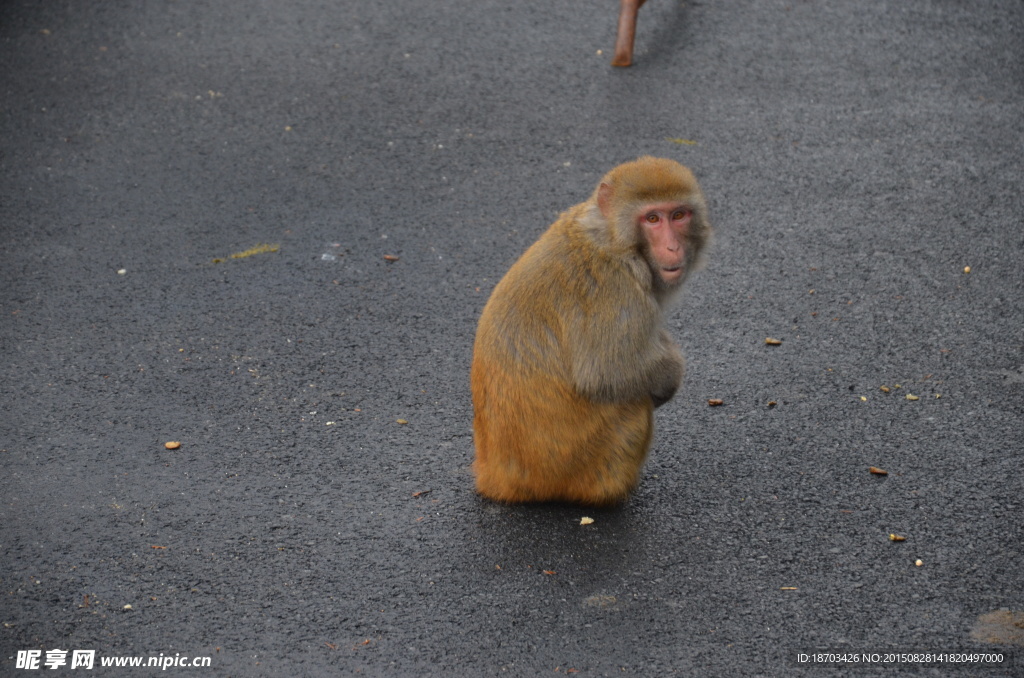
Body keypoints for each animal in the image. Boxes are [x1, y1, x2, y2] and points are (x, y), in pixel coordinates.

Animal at [471, 155, 712, 503]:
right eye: (652, 218)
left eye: (679, 215)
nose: (671, 247)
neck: (611, 235)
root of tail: (495, 479)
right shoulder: (615, 287)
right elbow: (604, 374)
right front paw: (671, 374)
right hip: (574, 469)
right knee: (632, 404)